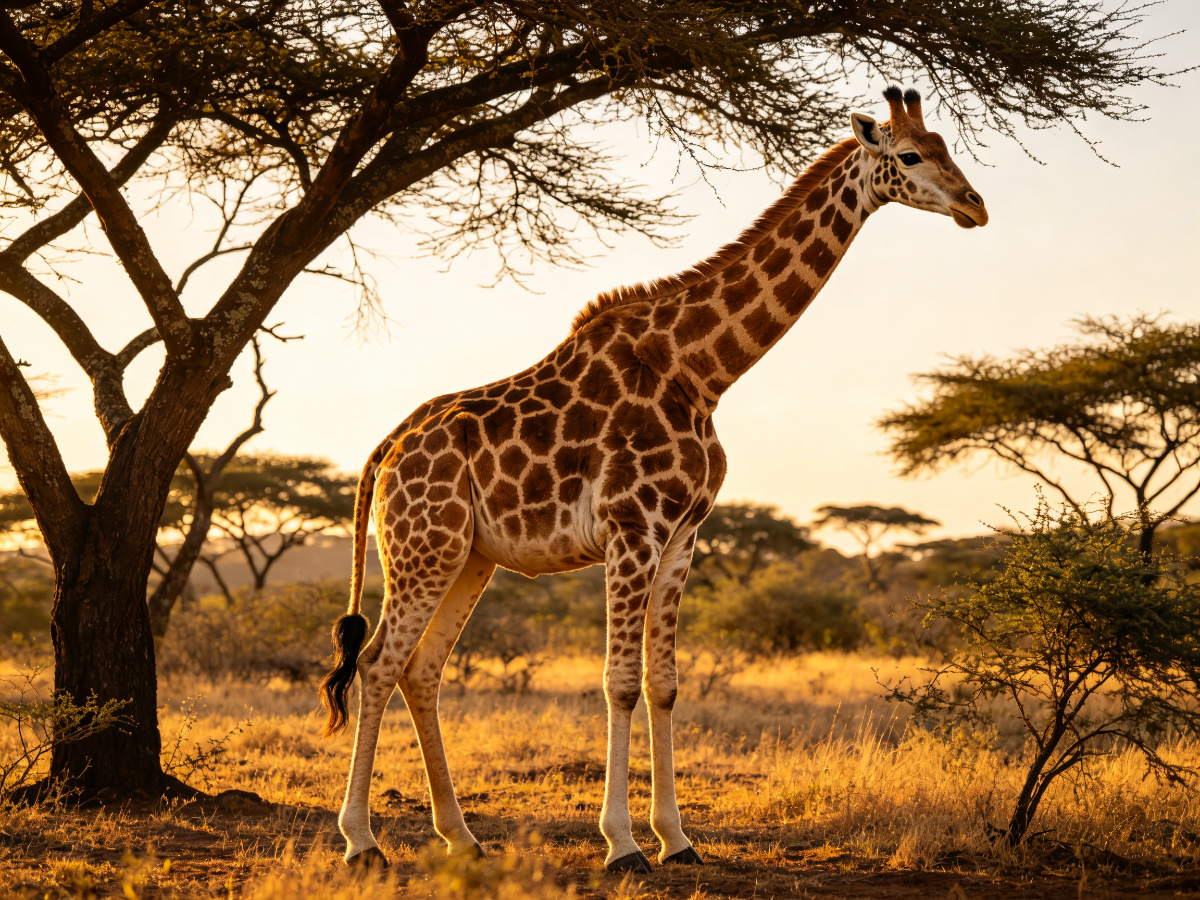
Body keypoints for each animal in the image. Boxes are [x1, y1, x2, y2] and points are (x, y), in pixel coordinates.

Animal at [318, 86, 987, 873]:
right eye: (910, 155)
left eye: (948, 148)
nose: (975, 205)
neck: (701, 372)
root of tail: (387, 449)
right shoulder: (632, 529)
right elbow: (619, 683)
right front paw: (622, 845)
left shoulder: (683, 536)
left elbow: (664, 684)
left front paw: (678, 838)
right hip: (424, 547)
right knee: (377, 664)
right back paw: (361, 841)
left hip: (469, 556)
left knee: (421, 670)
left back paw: (462, 836)